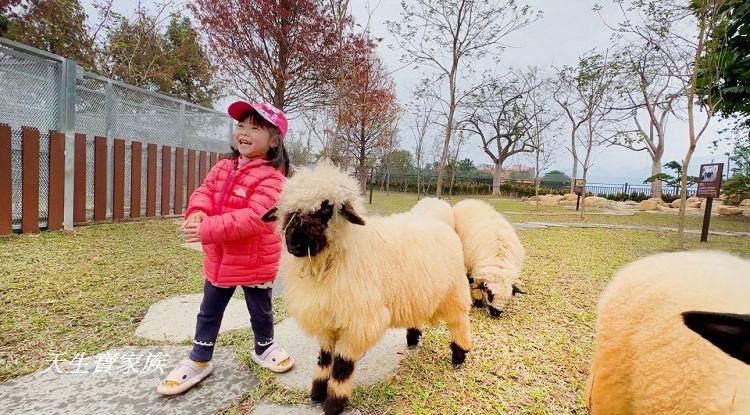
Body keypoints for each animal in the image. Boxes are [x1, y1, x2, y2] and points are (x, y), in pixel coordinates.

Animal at [262, 162, 472, 415]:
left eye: (326, 209)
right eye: (288, 211)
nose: (294, 243)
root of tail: (439, 219)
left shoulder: (357, 323)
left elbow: (342, 366)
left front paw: (334, 403)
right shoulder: (327, 319)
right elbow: (324, 358)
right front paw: (317, 393)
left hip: (454, 292)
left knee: (459, 322)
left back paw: (459, 356)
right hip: (417, 292)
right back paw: (413, 339)